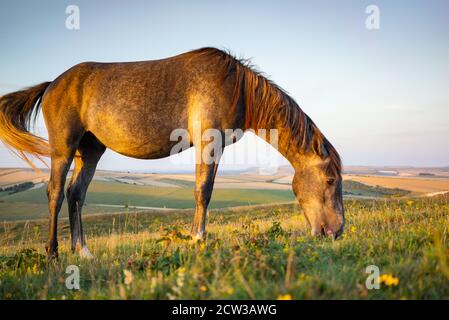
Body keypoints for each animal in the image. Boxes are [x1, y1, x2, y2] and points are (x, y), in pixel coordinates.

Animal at [0, 47, 344, 258]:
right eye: (330, 180)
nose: (337, 231)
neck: (238, 87)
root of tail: (52, 84)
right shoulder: (208, 142)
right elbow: (203, 191)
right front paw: (197, 239)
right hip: (64, 147)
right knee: (55, 193)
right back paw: (53, 253)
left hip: (91, 150)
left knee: (76, 194)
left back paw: (83, 251)